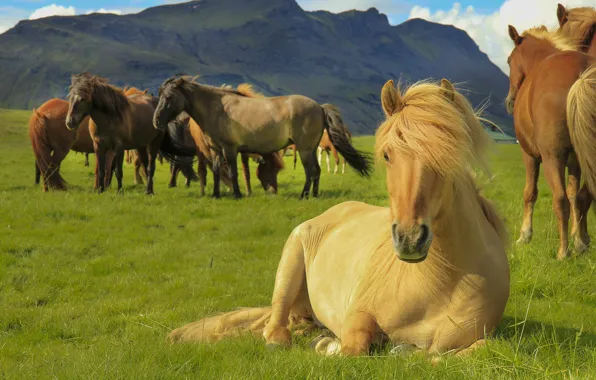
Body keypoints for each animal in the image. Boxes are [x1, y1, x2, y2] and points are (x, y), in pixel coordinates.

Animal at [151, 74, 370, 199]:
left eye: (168, 97)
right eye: (160, 96)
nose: (156, 122)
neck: (217, 108)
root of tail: (320, 107)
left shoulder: (230, 149)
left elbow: (233, 172)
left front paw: (237, 194)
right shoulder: (215, 150)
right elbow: (216, 171)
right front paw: (215, 195)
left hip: (305, 149)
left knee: (311, 171)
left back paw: (304, 195)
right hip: (310, 149)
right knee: (316, 171)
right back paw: (314, 195)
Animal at [165, 79, 510, 362]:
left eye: (448, 153)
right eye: (387, 155)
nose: (410, 240)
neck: (437, 281)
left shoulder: (476, 339)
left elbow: (458, 352)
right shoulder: (358, 315)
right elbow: (353, 347)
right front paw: (332, 346)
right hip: (290, 261)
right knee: (276, 323)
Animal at [506, 25, 596, 260]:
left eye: (509, 60)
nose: (510, 102)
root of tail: (581, 76)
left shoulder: (529, 156)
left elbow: (530, 193)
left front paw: (524, 235)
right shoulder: (576, 161)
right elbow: (574, 196)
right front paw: (579, 236)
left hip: (551, 159)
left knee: (560, 200)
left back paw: (563, 252)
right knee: (583, 197)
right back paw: (580, 243)